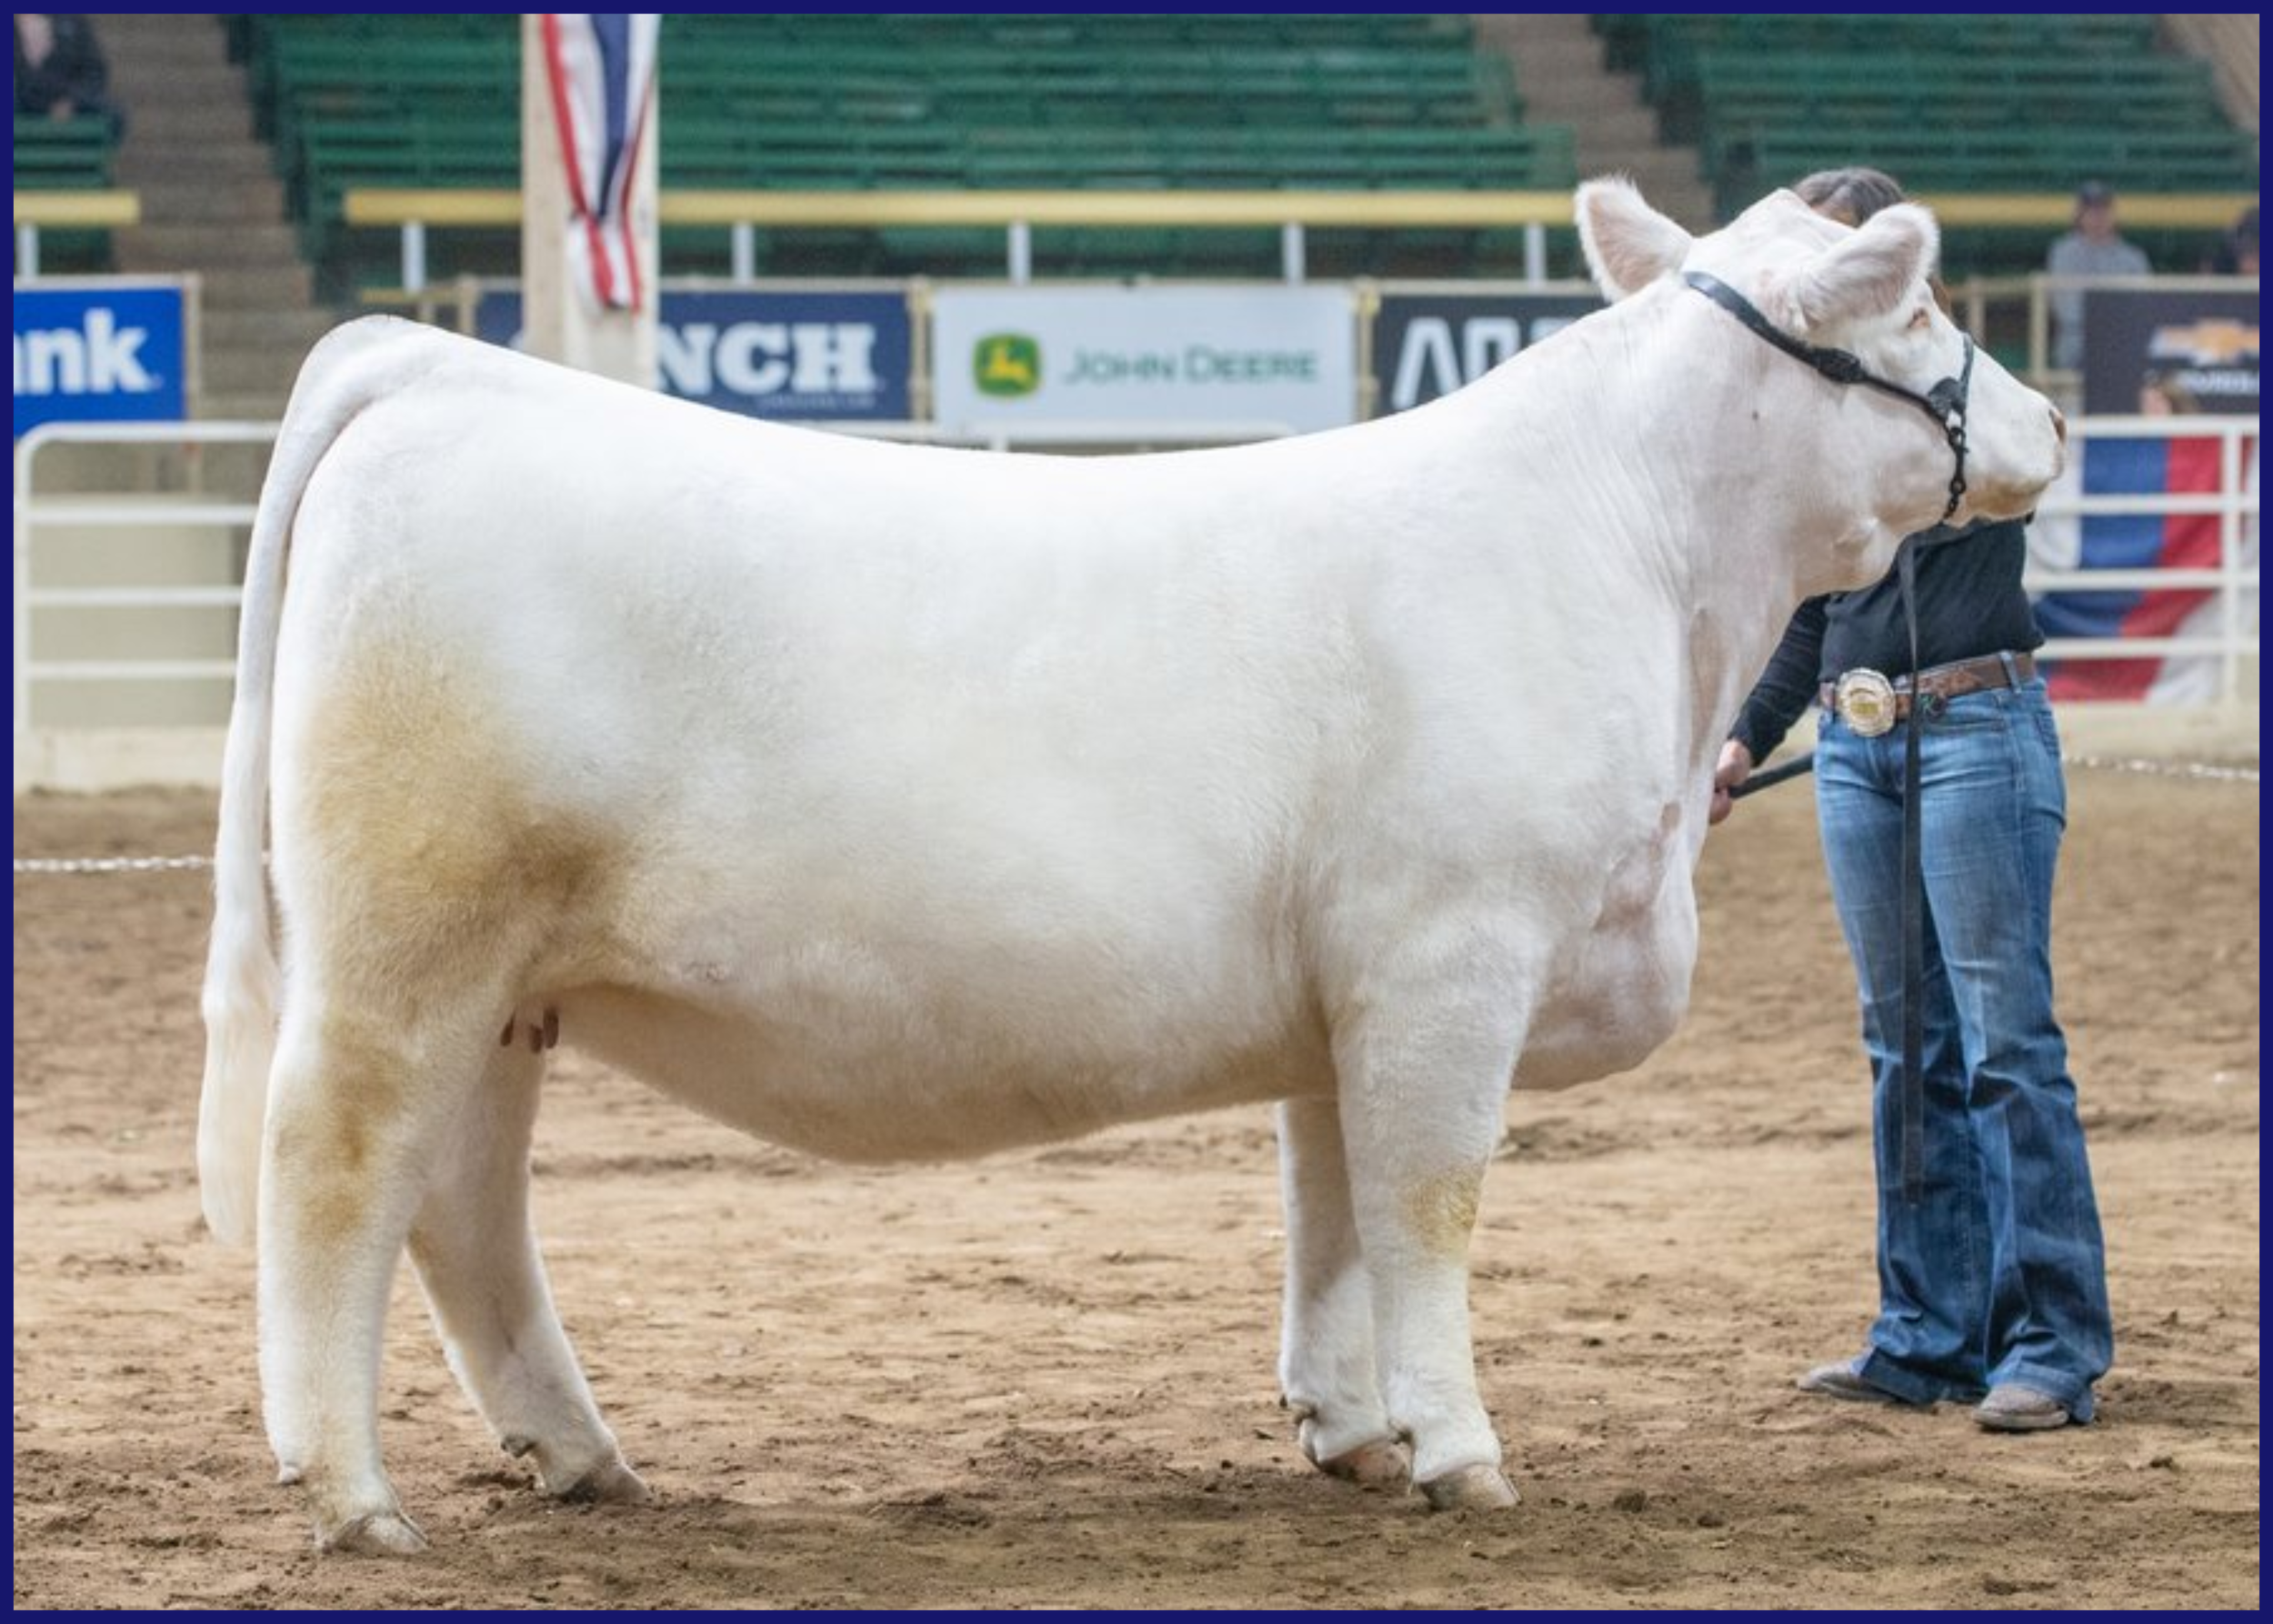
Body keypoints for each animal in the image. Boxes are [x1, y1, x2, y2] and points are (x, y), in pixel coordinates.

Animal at [197, 180, 2064, 1553]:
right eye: (1918, 309)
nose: (2052, 425)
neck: (1639, 563)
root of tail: (437, 367)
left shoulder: (1349, 993)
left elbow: (1333, 1210)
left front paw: (1351, 1429)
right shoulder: (1451, 956)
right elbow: (1429, 1204)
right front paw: (1462, 1451)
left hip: (512, 982)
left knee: (464, 1203)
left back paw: (579, 1454)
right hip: (405, 948)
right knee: (336, 1169)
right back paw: (351, 1495)